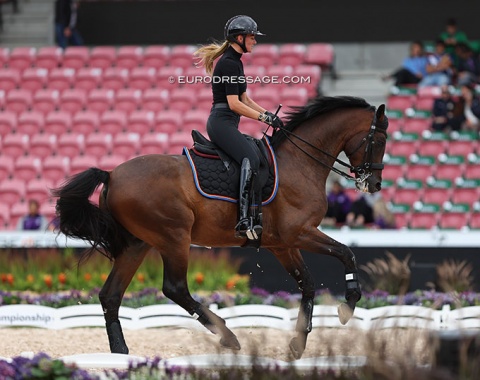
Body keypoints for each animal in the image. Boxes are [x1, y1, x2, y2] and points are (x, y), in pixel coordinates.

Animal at [52, 95, 388, 360]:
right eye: (381, 141)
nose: (374, 184)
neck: (299, 163)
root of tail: (111, 174)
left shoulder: (282, 244)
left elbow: (307, 283)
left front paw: (298, 344)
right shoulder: (300, 233)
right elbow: (346, 254)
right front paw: (348, 306)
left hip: (138, 244)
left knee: (111, 295)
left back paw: (120, 352)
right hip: (174, 238)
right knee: (174, 288)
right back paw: (228, 336)